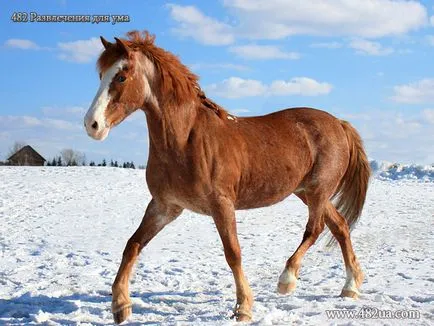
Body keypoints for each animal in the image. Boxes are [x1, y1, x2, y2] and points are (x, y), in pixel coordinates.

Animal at [84, 30, 370, 324]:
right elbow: (133, 245)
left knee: (315, 229)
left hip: (317, 191)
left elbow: (233, 253)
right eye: (101, 74)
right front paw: (120, 305)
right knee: (340, 226)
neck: (185, 139)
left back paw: (287, 280)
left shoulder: (221, 204)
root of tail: (339, 124)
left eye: (121, 76)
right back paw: (350, 287)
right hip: (307, 193)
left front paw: (243, 307)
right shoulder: (165, 206)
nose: (92, 125)